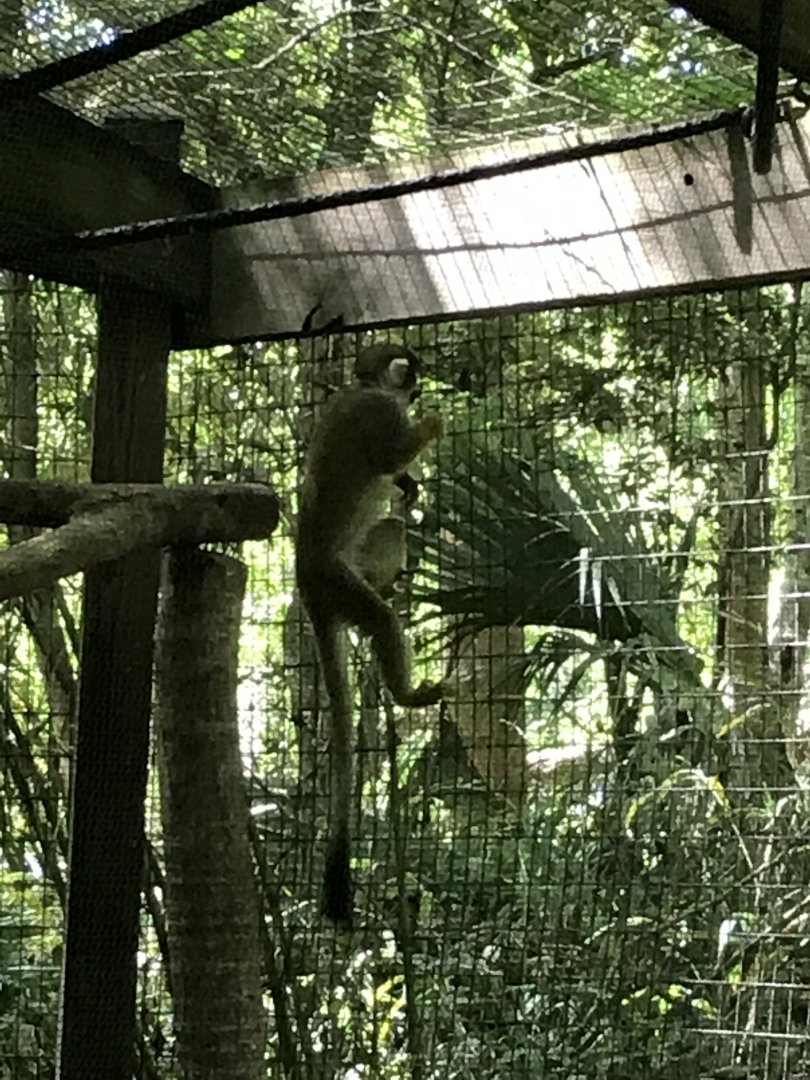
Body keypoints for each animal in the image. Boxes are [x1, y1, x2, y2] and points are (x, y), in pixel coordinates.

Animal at [296, 343, 444, 927]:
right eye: (412, 373)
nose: (420, 388)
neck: (365, 386)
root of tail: (304, 581)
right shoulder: (379, 412)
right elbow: (385, 457)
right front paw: (431, 424)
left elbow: (394, 473)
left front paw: (410, 483)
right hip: (337, 581)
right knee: (379, 619)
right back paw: (406, 693)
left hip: (350, 568)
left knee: (389, 529)